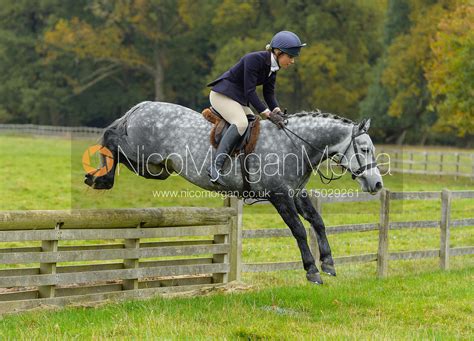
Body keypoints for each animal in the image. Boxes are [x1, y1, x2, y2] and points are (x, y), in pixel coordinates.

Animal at [84, 101, 382, 284]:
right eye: (365, 149)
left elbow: (318, 222)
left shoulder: (296, 193)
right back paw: (99, 178)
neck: (294, 144)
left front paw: (329, 264)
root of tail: (141, 107)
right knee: (111, 139)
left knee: (117, 147)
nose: (377, 185)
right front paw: (312, 271)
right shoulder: (279, 196)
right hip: (144, 155)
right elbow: (298, 229)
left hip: (155, 167)